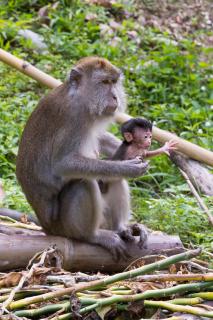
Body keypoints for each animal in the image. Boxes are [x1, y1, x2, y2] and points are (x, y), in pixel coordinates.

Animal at [16, 56, 148, 258]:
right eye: (104, 82)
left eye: (114, 82)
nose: (115, 97)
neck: (80, 99)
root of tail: (46, 227)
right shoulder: (74, 118)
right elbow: (63, 164)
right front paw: (126, 167)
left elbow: (100, 138)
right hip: (62, 227)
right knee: (84, 182)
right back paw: (92, 236)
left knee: (113, 181)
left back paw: (121, 228)